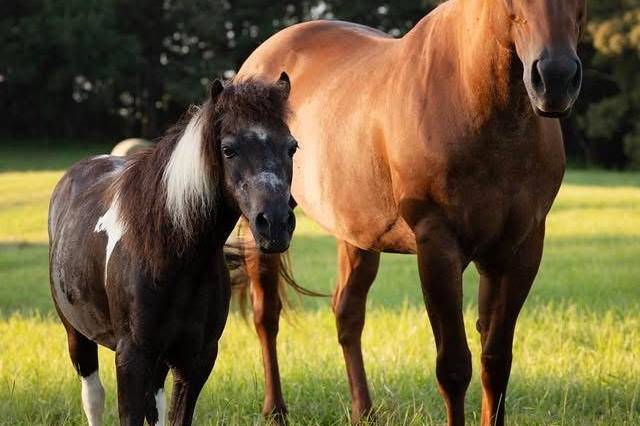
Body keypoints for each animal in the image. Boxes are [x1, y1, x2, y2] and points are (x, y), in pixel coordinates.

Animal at [48, 74, 298, 426]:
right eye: (228, 149)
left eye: (291, 147)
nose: (274, 223)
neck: (174, 259)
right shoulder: (132, 358)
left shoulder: (196, 359)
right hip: (77, 334)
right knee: (93, 397)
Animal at [235, 0, 585, 424]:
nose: (555, 78)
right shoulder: (438, 247)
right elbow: (454, 367)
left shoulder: (519, 251)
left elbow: (496, 361)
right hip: (263, 228)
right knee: (267, 316)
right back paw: (275, 410)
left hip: (357, 233)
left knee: (347, 314)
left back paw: (364, 411)